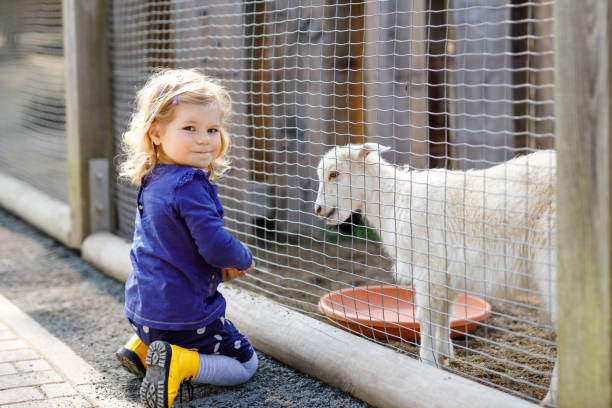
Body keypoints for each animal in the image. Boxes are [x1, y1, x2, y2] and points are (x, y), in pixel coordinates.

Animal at [316, 143, 560, 404]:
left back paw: (552, 398)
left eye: (334, 174)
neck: (395, 200)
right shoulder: (447, 275)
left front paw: (427, 361)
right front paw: (443, 356)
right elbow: (445, 314)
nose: (318, 209)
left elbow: (426, 315)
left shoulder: (428, 269)